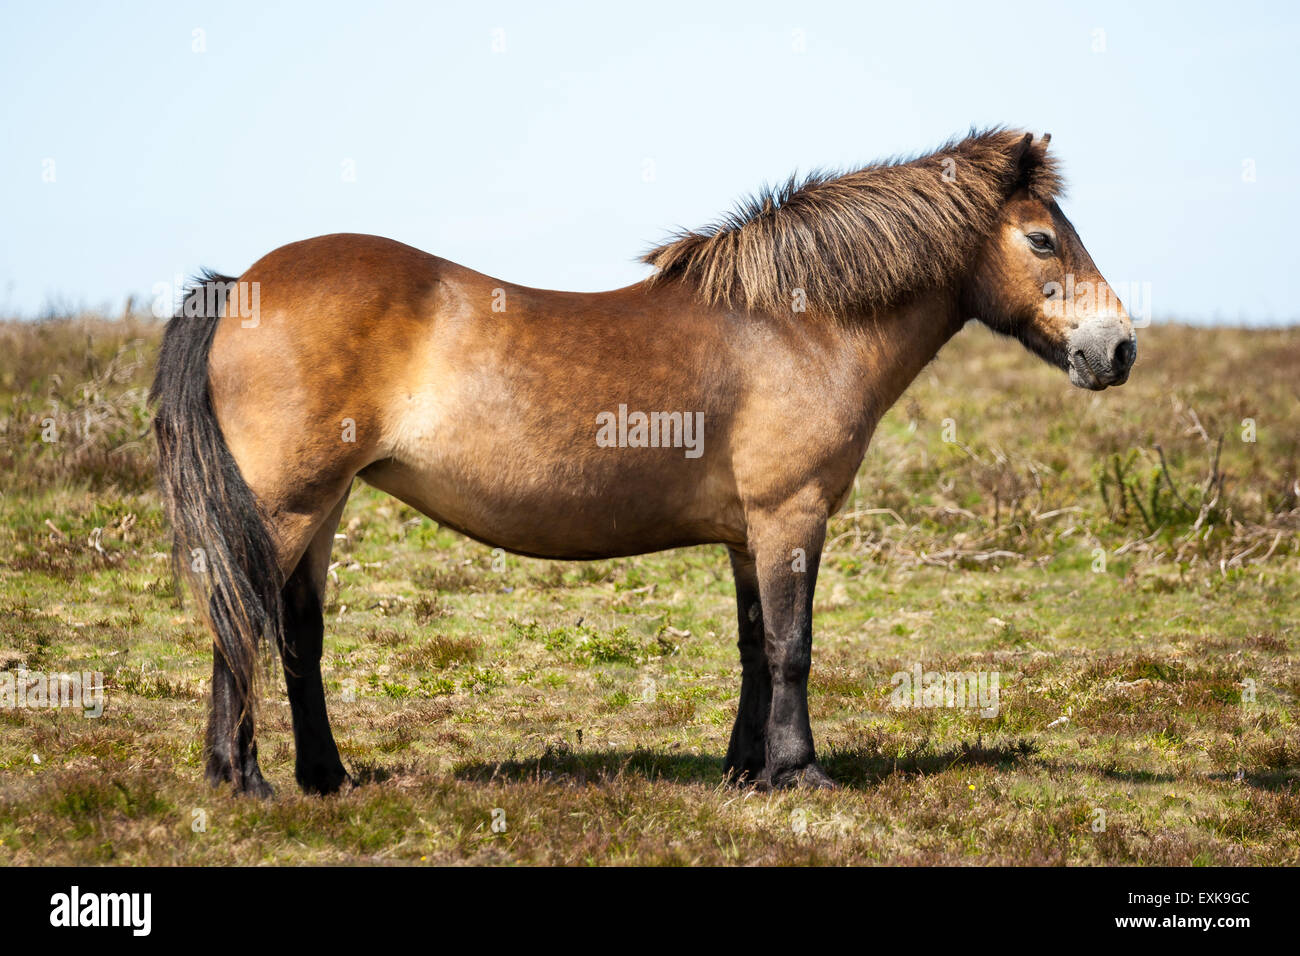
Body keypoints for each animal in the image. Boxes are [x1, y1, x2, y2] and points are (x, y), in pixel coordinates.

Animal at [149, 128, 1128, 801]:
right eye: (1043, 240)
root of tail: (239, 287)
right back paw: (243, 780)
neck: (794, 326)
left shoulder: (746, 534)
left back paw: (325, 778)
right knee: (240, 623)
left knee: (296, 636)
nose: (1116, 349)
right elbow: (794, 646)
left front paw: (747, 771)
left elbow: (754, 648)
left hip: (323, 507)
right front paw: (800, 774)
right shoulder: (791, 515)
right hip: (284, 508)